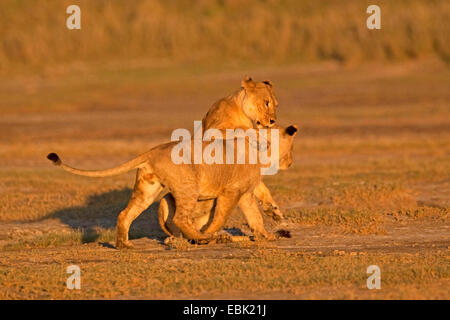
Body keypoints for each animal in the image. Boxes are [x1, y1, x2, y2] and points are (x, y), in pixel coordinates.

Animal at [47, 124, 298, 248]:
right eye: (291, 149)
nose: (291, 162)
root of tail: (153, 150)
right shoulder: (231, 191)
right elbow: (221, 217)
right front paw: (211, 233)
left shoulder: (244, 193)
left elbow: (255, 217)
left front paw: (266, 236)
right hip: (188, 187)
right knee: (180, 219)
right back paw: (202, 237)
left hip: (148, 190)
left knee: (125, 214)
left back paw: (123, 245)